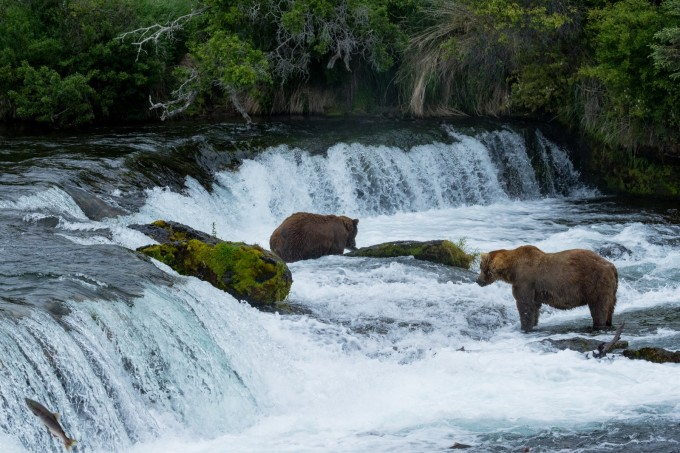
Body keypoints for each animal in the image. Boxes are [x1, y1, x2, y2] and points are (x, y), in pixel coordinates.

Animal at [476, 245, 620, 330]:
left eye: (481, 267)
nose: (478, 281)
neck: (512, 269)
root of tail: (612, 266)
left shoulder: (525, 281)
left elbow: (524, 305)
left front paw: (524, 326)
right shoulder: (535, 291)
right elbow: (534, 307)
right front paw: (533, 323)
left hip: (595, 283)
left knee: (599, 307)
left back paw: (598, 325)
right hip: (612, 288)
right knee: (610, 307)